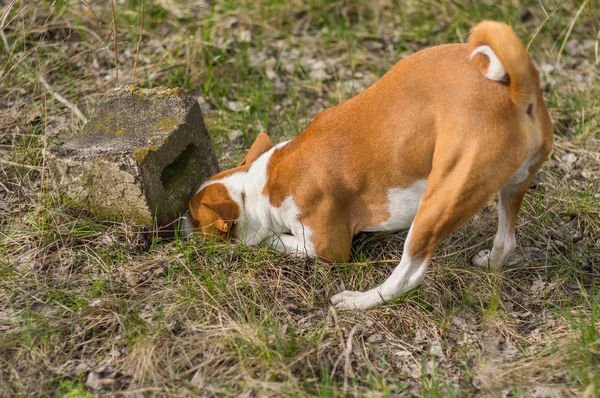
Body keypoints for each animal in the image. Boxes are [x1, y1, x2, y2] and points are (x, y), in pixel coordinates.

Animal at [184, 20, 552, 310]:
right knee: (506, 242)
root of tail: (517, 93)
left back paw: (360, 301)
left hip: (437, 205)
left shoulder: (327, 247)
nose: (178, 227)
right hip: (510, 188)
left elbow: (276, 241)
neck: (264, 182)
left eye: (195, 219)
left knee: (408, 276)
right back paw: (491, 262)